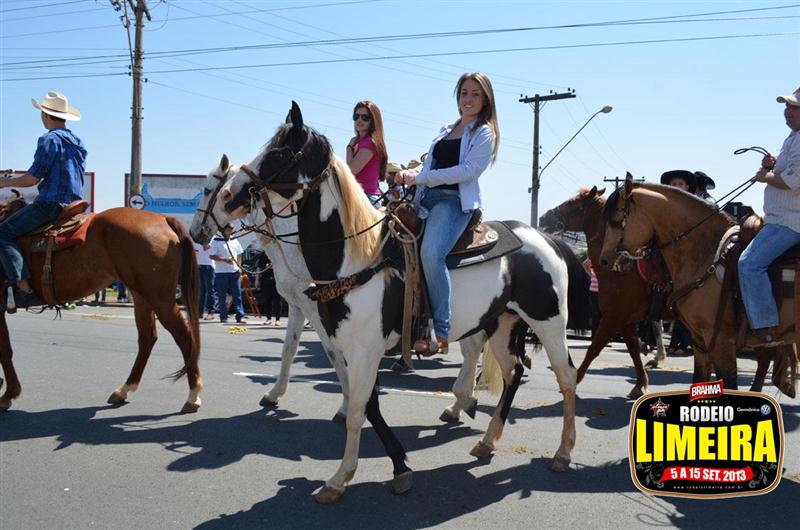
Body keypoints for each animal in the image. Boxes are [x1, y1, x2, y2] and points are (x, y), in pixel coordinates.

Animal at [0, 207, 202, 413]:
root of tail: (163, 218)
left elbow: (5, 351)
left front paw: (8, 394)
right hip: (142, 296)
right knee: (147, 339)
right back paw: (124, 389)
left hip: (160, 299)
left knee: (185, 337)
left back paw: (193, 396)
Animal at [191, 155, 491, 424]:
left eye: (207, 189)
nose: (195, 232)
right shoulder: (298, 305)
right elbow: (289, 349)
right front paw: (274, 394)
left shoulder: (319, 309)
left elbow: (334, 354)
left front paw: (347, 405)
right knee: (474, 346)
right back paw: (459, 402)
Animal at [540, 186, 661, 398]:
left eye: (571, 203)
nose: (543, 218)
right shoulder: (624, 320)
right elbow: (633, 348)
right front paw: (640, 384)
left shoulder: (613, 317)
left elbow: (594, 348)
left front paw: (573, 381)